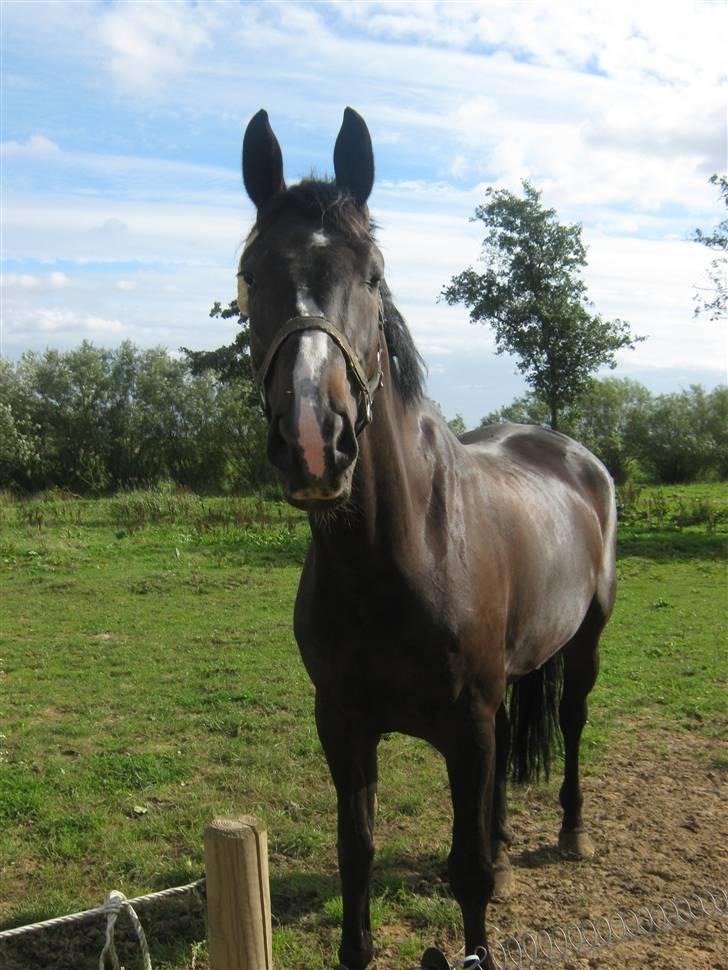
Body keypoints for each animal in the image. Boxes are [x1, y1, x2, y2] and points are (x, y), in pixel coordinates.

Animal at [237, 108, 616, 968]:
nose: (314, 440)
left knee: (574, 722)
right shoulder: (343, 724)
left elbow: (464, 869)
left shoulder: (464, 726)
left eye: (373, 275)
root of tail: (573, 453)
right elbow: (357, 854)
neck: (396, 559)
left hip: (584, 643)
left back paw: (572, 833)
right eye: (249, 275)